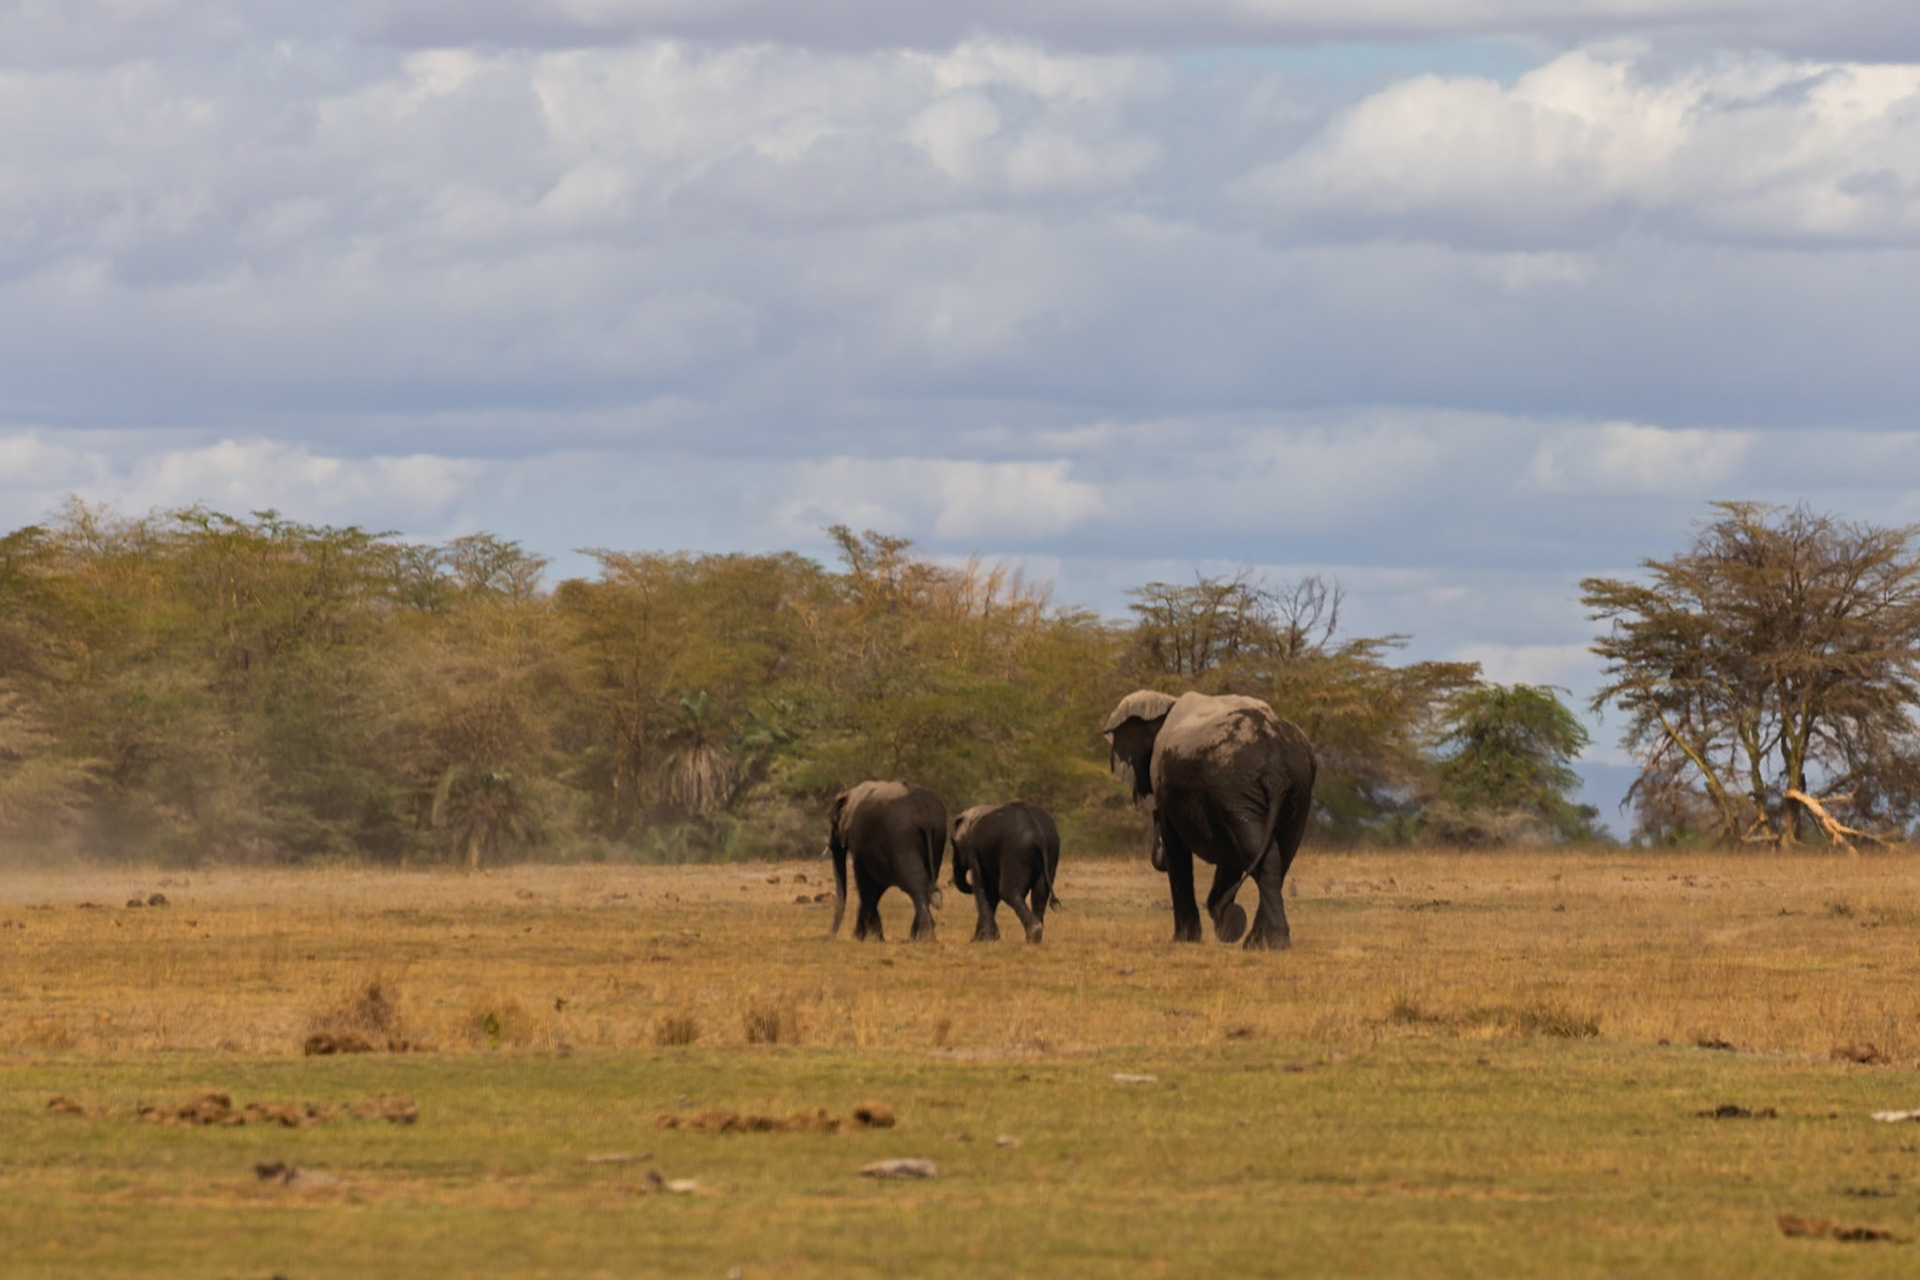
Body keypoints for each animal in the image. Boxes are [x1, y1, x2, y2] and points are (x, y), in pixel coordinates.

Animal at [826, 780, 947, 942]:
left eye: (833, 822)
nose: (830, 934)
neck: (850, 794)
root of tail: (925, 817)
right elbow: (876, 887)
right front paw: (871, 937)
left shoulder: (857, 841)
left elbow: (865, 883)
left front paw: (865, 938)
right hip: (938, 836)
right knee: (926, 883)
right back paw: (918, 937)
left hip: (902, 836)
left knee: (914, 883)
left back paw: (923, 937)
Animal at [951, 802, 1060, 943]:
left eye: (953, 844)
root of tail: (1039, 834)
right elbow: (992, 894)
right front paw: (984, 938)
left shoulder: (973, 850)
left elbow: (983, 887)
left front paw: (983, 940)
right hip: (1052, 851)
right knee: (1040, 894)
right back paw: (1034, 939)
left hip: (1016, 852)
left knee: (1008, 892)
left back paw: (1034, 932)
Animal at [1101, 690, 1316, 949]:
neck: (1166, 703)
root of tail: (1277, 766)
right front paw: (1222, 922)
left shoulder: (1166, 785)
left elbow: (1177, 851)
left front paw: (1184, 939)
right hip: (1293, 790)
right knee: (1276, 856)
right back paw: (1256, 942)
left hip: (1237, 786)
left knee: (1262, 855)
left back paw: (1268, 942)